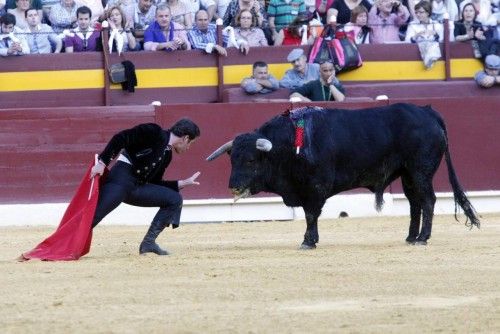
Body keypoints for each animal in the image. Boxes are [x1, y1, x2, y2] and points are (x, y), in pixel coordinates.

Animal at [205, 104, 478, 248]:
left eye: (251, 160)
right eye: (232, 159)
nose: (233, 186)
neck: (289, 145)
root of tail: (427, 111)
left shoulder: (315, 188)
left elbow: (311, 214)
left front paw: (308, 241)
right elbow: (309, 214)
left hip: (421, 171)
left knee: (428, 200)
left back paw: (422, 238)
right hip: (408, 174)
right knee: (415, 203)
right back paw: (411, 237)